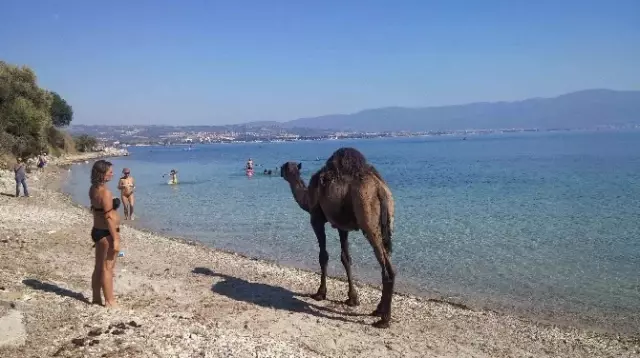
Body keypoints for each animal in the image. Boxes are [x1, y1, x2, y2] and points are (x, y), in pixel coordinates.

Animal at [280, 147, 396, 328]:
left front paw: (320, 293)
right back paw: (378, 310)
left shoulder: (316, 218)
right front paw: (352, 299)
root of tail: (380, 189)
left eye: (286, 168)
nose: (279, 170)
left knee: (387, 267)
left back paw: (384, 319)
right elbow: (345, 257)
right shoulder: (342, 227)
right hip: (387, 220)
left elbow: (323, 256)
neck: (308, 197)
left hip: (367, 216)